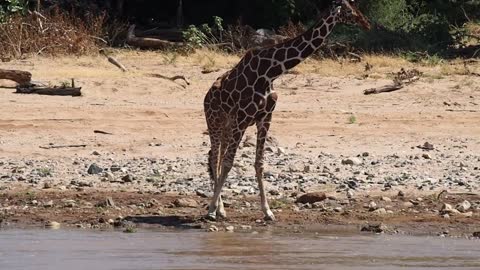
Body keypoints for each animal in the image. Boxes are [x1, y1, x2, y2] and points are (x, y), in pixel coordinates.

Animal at [202, 0, 372, 220]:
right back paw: (216, 208)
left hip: (227, 127)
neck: (271, 72)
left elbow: (259, 163)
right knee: (215, 157)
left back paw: (221, 208)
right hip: (215, 122)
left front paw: (268, 211)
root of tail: (206, 97)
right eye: (350, 11)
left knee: (215, 156)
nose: (366, 23)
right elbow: (229, 162)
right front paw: (211, 210)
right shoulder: (243, 117)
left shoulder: (265, 118)